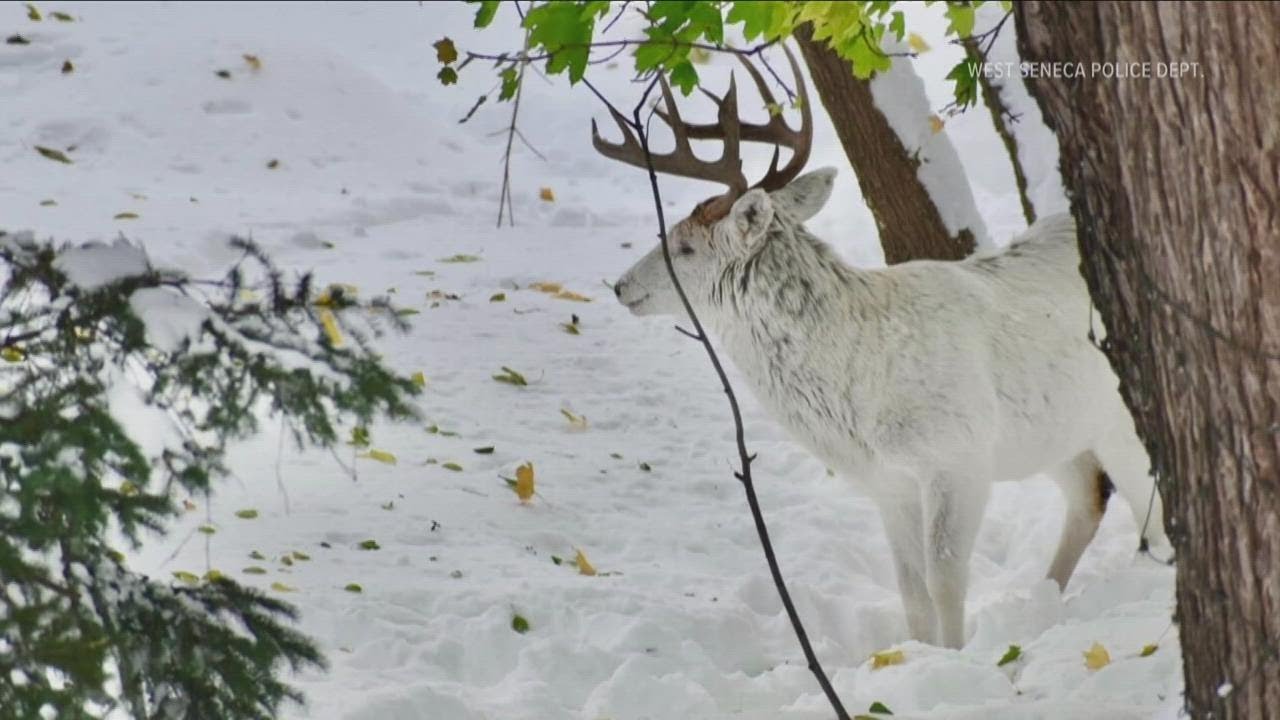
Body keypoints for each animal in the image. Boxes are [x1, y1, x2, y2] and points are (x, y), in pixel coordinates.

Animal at [596, 47, 1169, 650]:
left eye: (684, 247)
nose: (621, 285)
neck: (860, 381)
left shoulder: (958, 454)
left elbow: (945, 579)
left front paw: (956, 656)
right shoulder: (888, 483)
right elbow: (911, 590)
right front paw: (919, 651)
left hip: (1116, 421)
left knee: (1148, 512)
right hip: (1056, 431)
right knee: (1088, 497)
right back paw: (1047, 597)